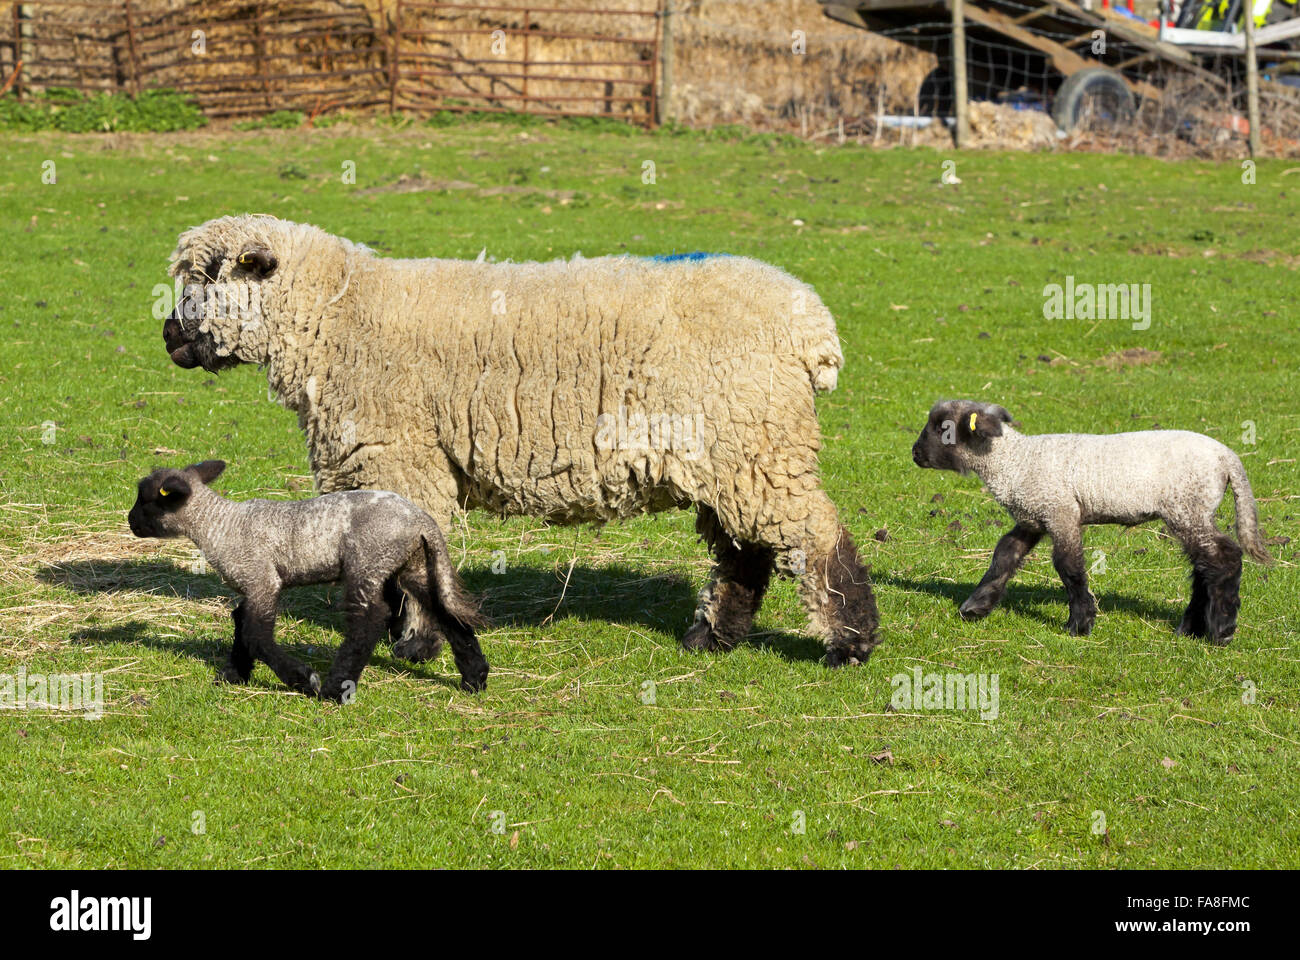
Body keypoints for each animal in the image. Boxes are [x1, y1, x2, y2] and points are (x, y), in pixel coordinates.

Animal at [128, 455, 488, 697]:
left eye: (146, 499)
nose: (130, 522)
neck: (219, 525)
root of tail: (422, 520)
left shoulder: (262, 580)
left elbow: (256, 635)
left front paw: (301, 678)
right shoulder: (252, 587)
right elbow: (241, 624)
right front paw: (233, 674)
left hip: (367, 561)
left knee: (369, 621)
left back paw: (334, 688)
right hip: (411, 564)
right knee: (443, 610)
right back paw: (475, 678)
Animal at [157, 217, 878, 666]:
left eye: (209, 278)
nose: (167, 338)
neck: (335, 319)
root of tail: (810, 324)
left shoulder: (404, 459)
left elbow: (414, 566)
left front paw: (415, 645)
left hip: (758, 444)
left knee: (814, 536)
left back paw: (849, 642)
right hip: (731, 453)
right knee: (744, 552)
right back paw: (713, 637)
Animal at [909, 400, 1263, 640]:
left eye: (943, 428)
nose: (914, 453)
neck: (1014, 463)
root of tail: (1228, 458)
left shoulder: (1061, 512)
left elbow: (1068, 566)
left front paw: (1080, 623)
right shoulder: (1033, 518)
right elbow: (1004, 555)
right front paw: (975, 606)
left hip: (1187, 508)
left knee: (1225, 558)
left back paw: (1221, 630)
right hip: (1191, 512)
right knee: (1205, 565)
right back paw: (1191, 628)